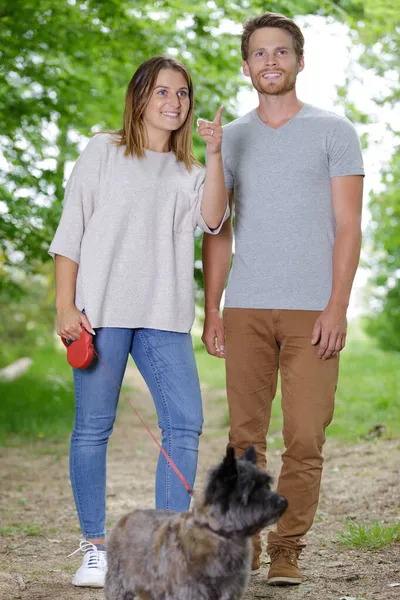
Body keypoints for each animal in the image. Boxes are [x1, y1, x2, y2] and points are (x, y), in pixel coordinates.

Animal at [105, 448, 288, 596]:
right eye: (251, 490)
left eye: (266, 485)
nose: (283, 501)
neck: (218, 533)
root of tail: (126, 518)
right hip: (120, 586)